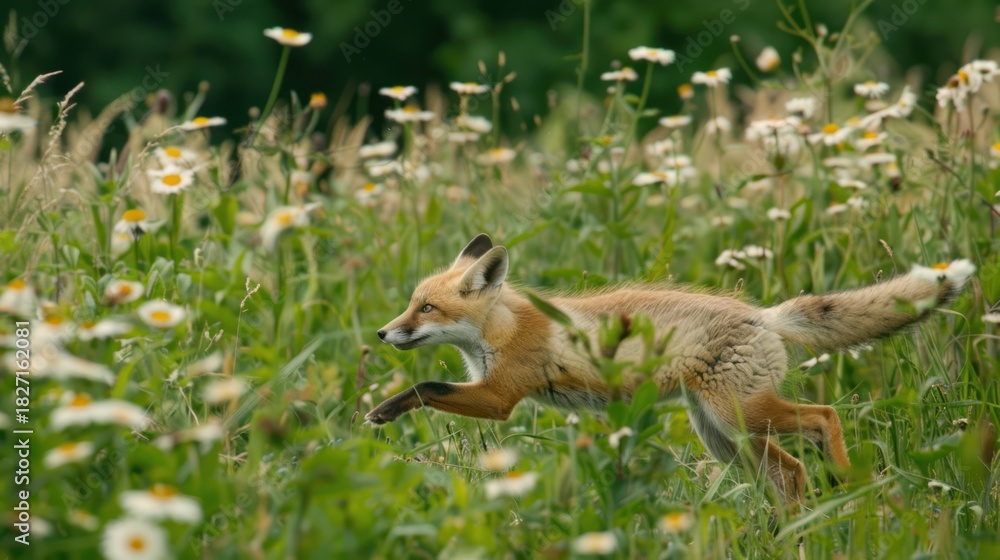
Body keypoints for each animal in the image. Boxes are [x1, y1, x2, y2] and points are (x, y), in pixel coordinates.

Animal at [366, 233, 975, 502]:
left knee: (824, 417)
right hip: (725, 435)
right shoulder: (488, 387)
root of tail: (764, 315)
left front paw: (383, 411)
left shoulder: (499, 398)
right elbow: (429, 383)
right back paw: (795, 528)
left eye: (426, 309)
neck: (502, 329)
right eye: (411, 304)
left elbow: (425, 383)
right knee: (788, 472)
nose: (382, 333)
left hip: (742, 416)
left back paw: (847, 482)